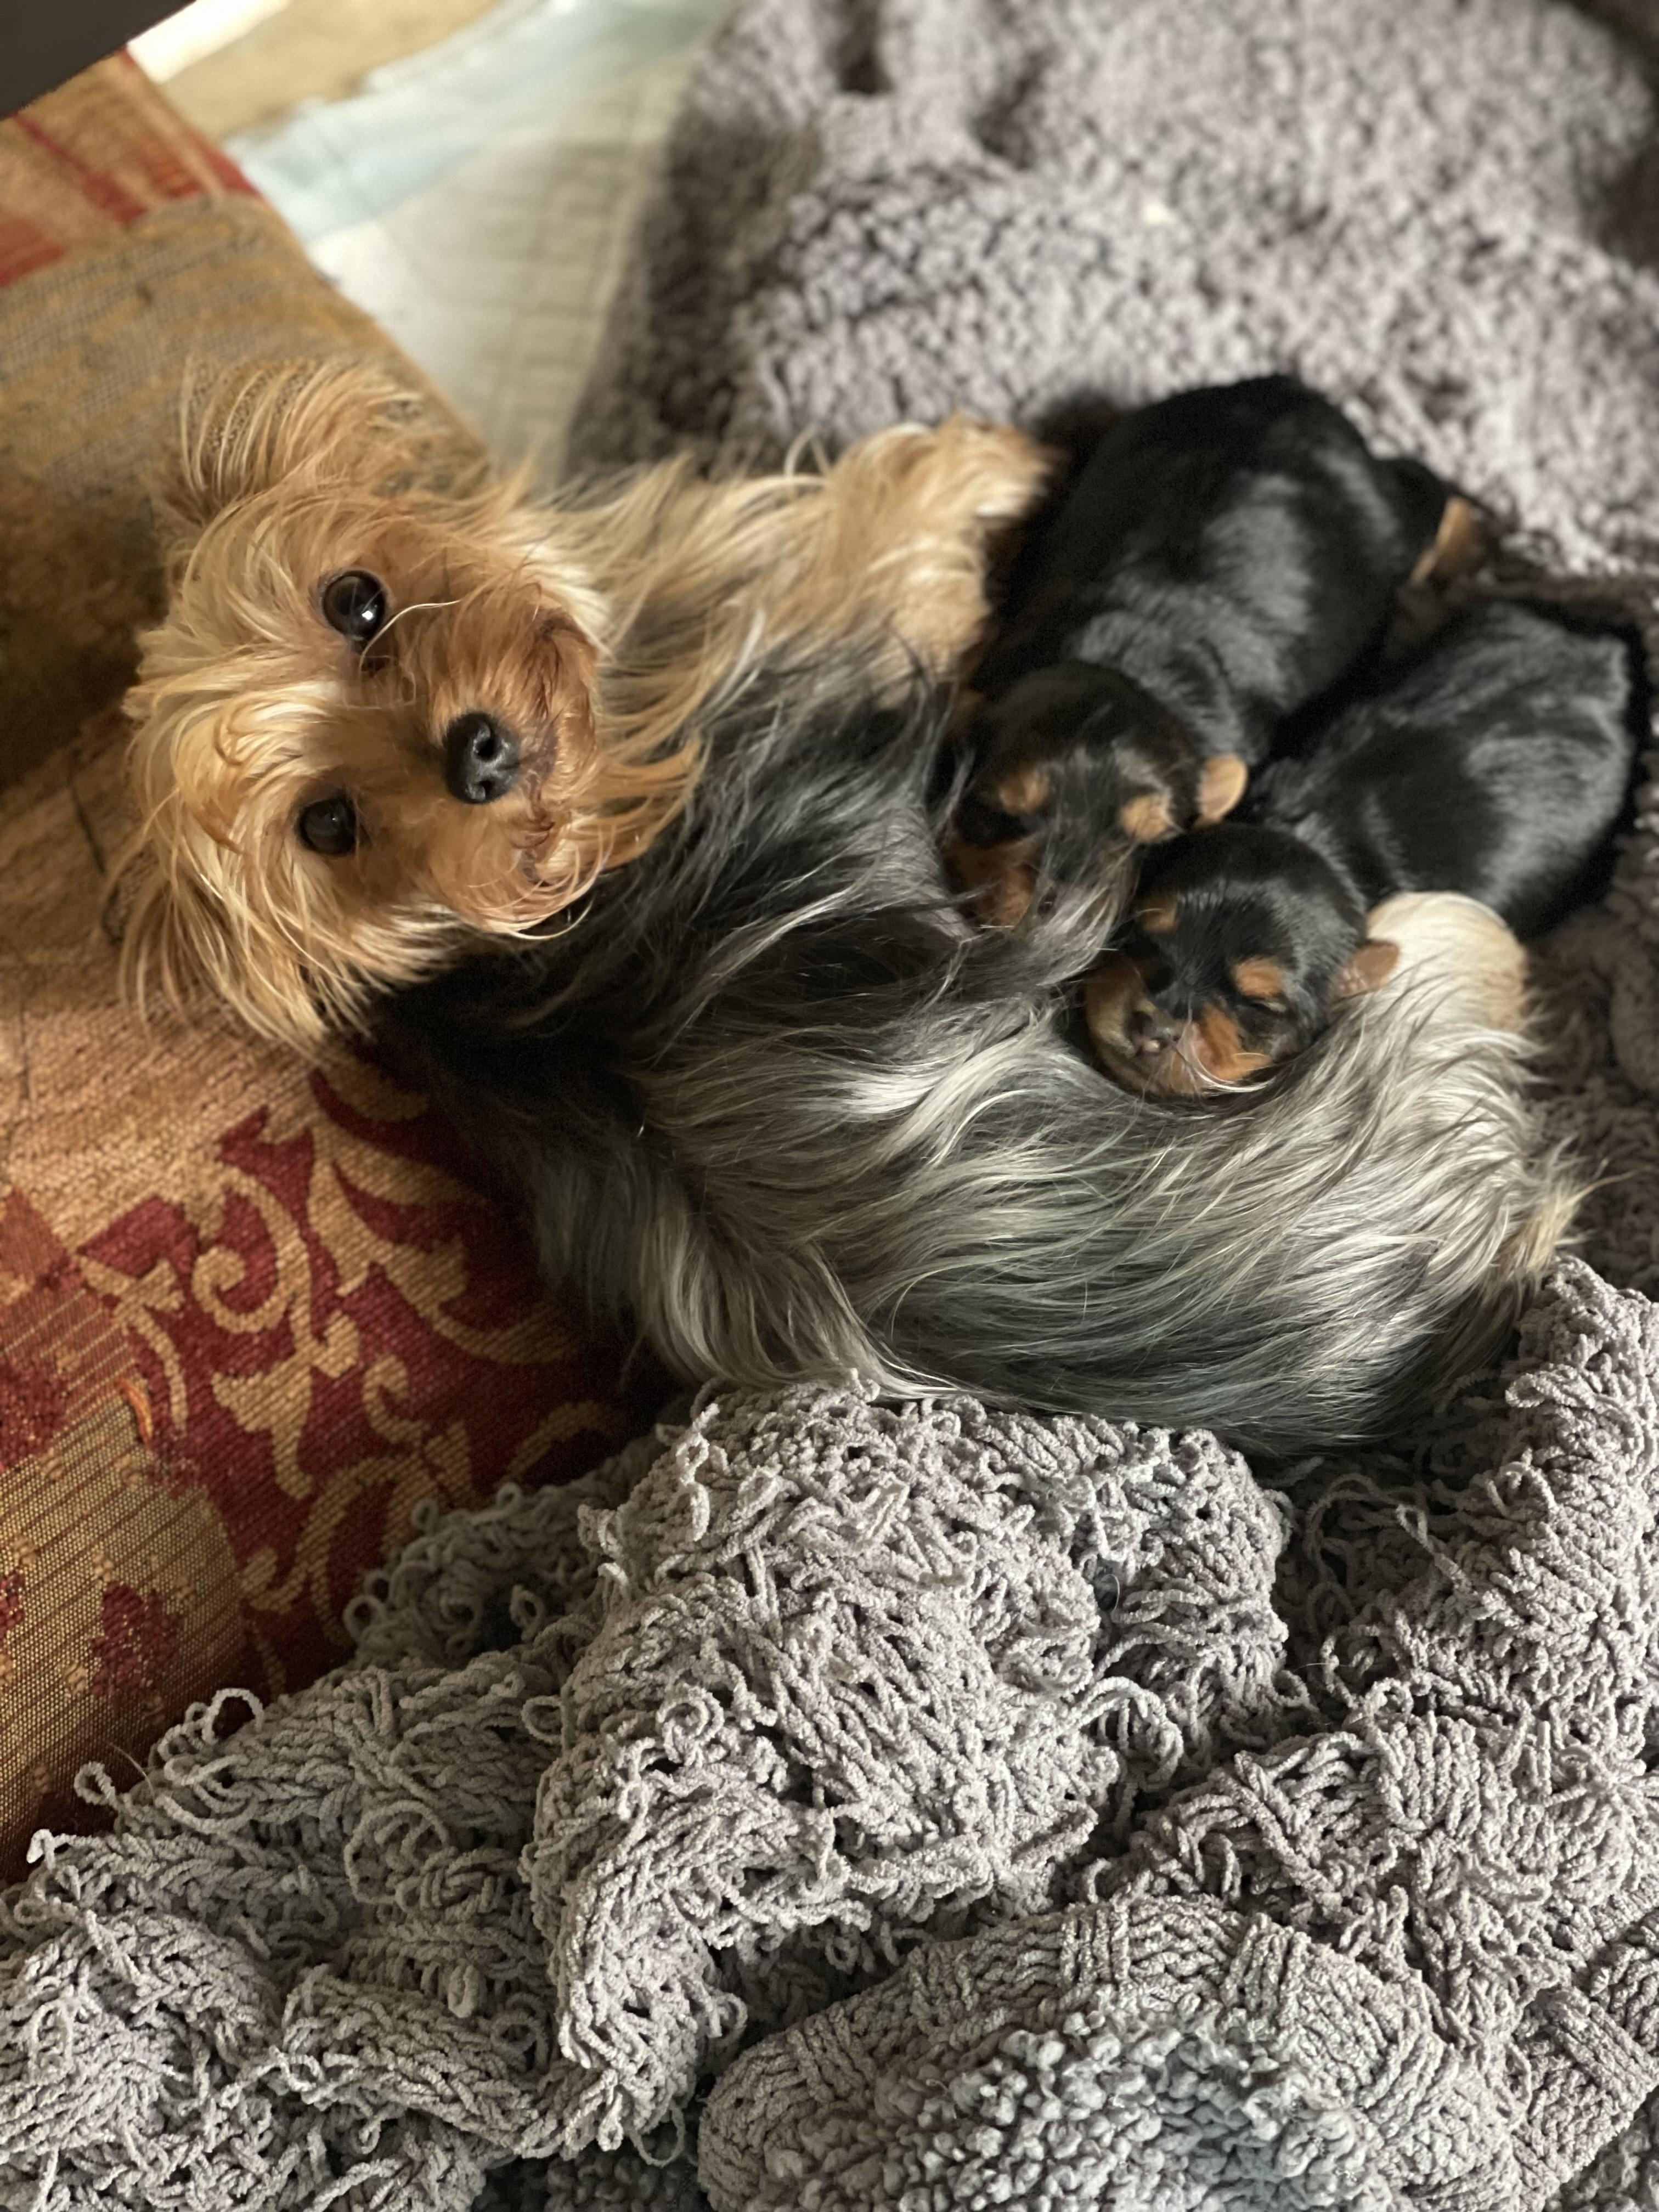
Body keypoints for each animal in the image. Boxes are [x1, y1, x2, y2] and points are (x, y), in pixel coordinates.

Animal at [946, 376, 1482, 928]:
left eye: (1152, 843)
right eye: (997, 811)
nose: (1060, 916)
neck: (1125, 663)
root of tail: (1289, 391)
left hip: (1396, 522)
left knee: (1432, 499)